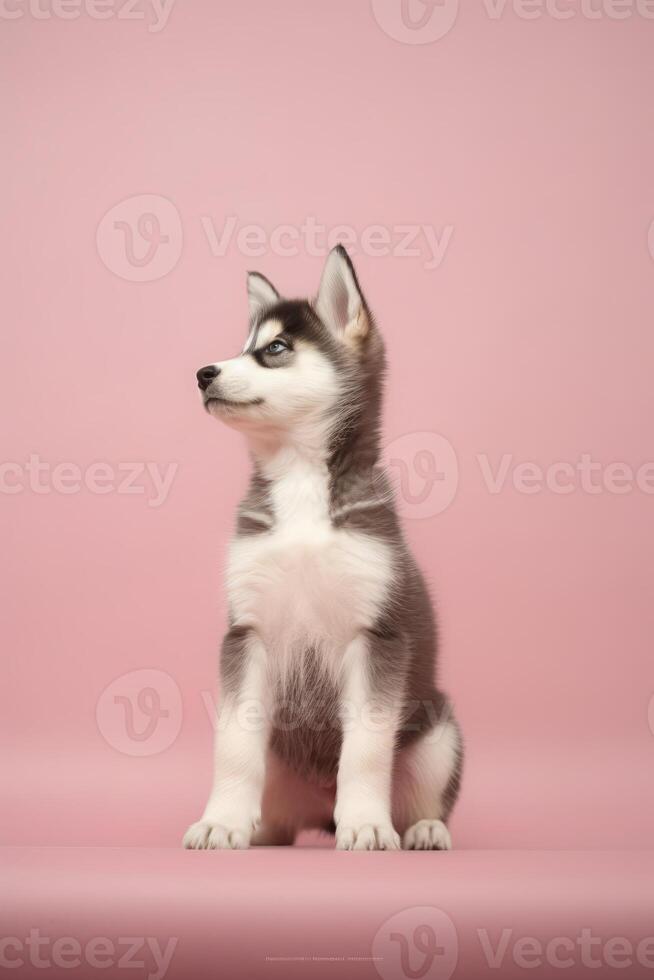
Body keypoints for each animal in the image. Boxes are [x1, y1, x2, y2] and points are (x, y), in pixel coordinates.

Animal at [182, 245, 464, 848]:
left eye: (275, 349)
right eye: (243, 344)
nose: (202, 373)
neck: (299, 483)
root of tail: (315, 812)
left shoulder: (378, 636)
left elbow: (365, 748)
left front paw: (366, 824)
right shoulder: (246, 633)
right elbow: (234, 744)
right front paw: (221, 820)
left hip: (439, 734)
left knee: (427, 793)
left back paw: (422, 827)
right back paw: (258, 829)